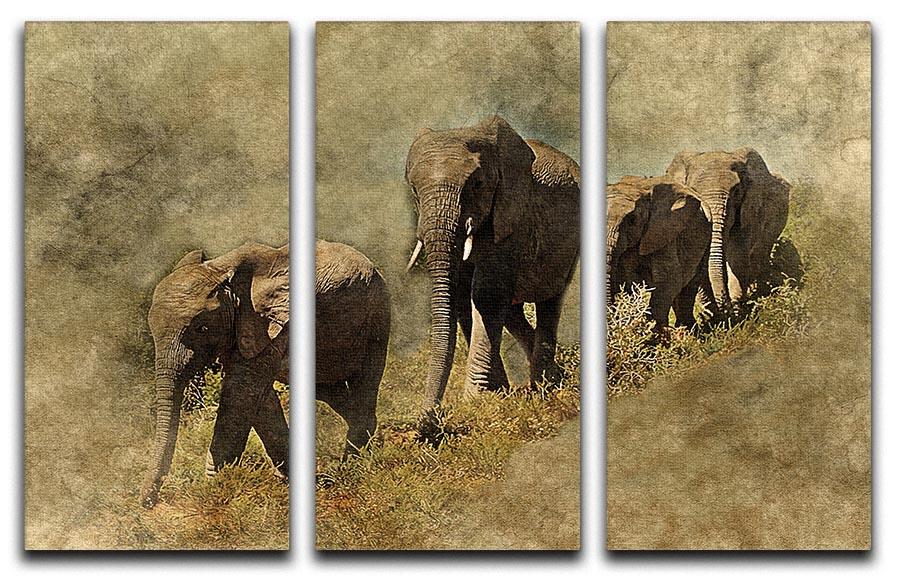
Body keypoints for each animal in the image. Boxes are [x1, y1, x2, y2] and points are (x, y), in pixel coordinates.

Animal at [142, 242, 290, 508]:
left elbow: (242, 392)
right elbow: (258, 398)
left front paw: (214, 490)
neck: (222, 269)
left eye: (202, 328)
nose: (147, 502)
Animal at [404, 115, 580, 434]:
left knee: (550, 299)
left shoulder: (511, 216)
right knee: (512, 310)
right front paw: (497, 393)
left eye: (477, 184)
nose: (428, 421)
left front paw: (477, 398)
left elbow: (486, 294)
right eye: (414, 188)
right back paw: (555, 376)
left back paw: (546, 386)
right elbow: (461, 298)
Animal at [606, 176, 712, 330]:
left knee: (689, 285)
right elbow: (626, 279)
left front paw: (653, 331)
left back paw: (686, 329)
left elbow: (670, 277)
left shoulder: (664, 229)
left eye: (632, 221)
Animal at [665, 148, 790, 312]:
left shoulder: (749, 210)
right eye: (694, 191)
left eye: (736, 191)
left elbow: (737, 255)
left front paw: (737, 311)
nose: (725, 306)